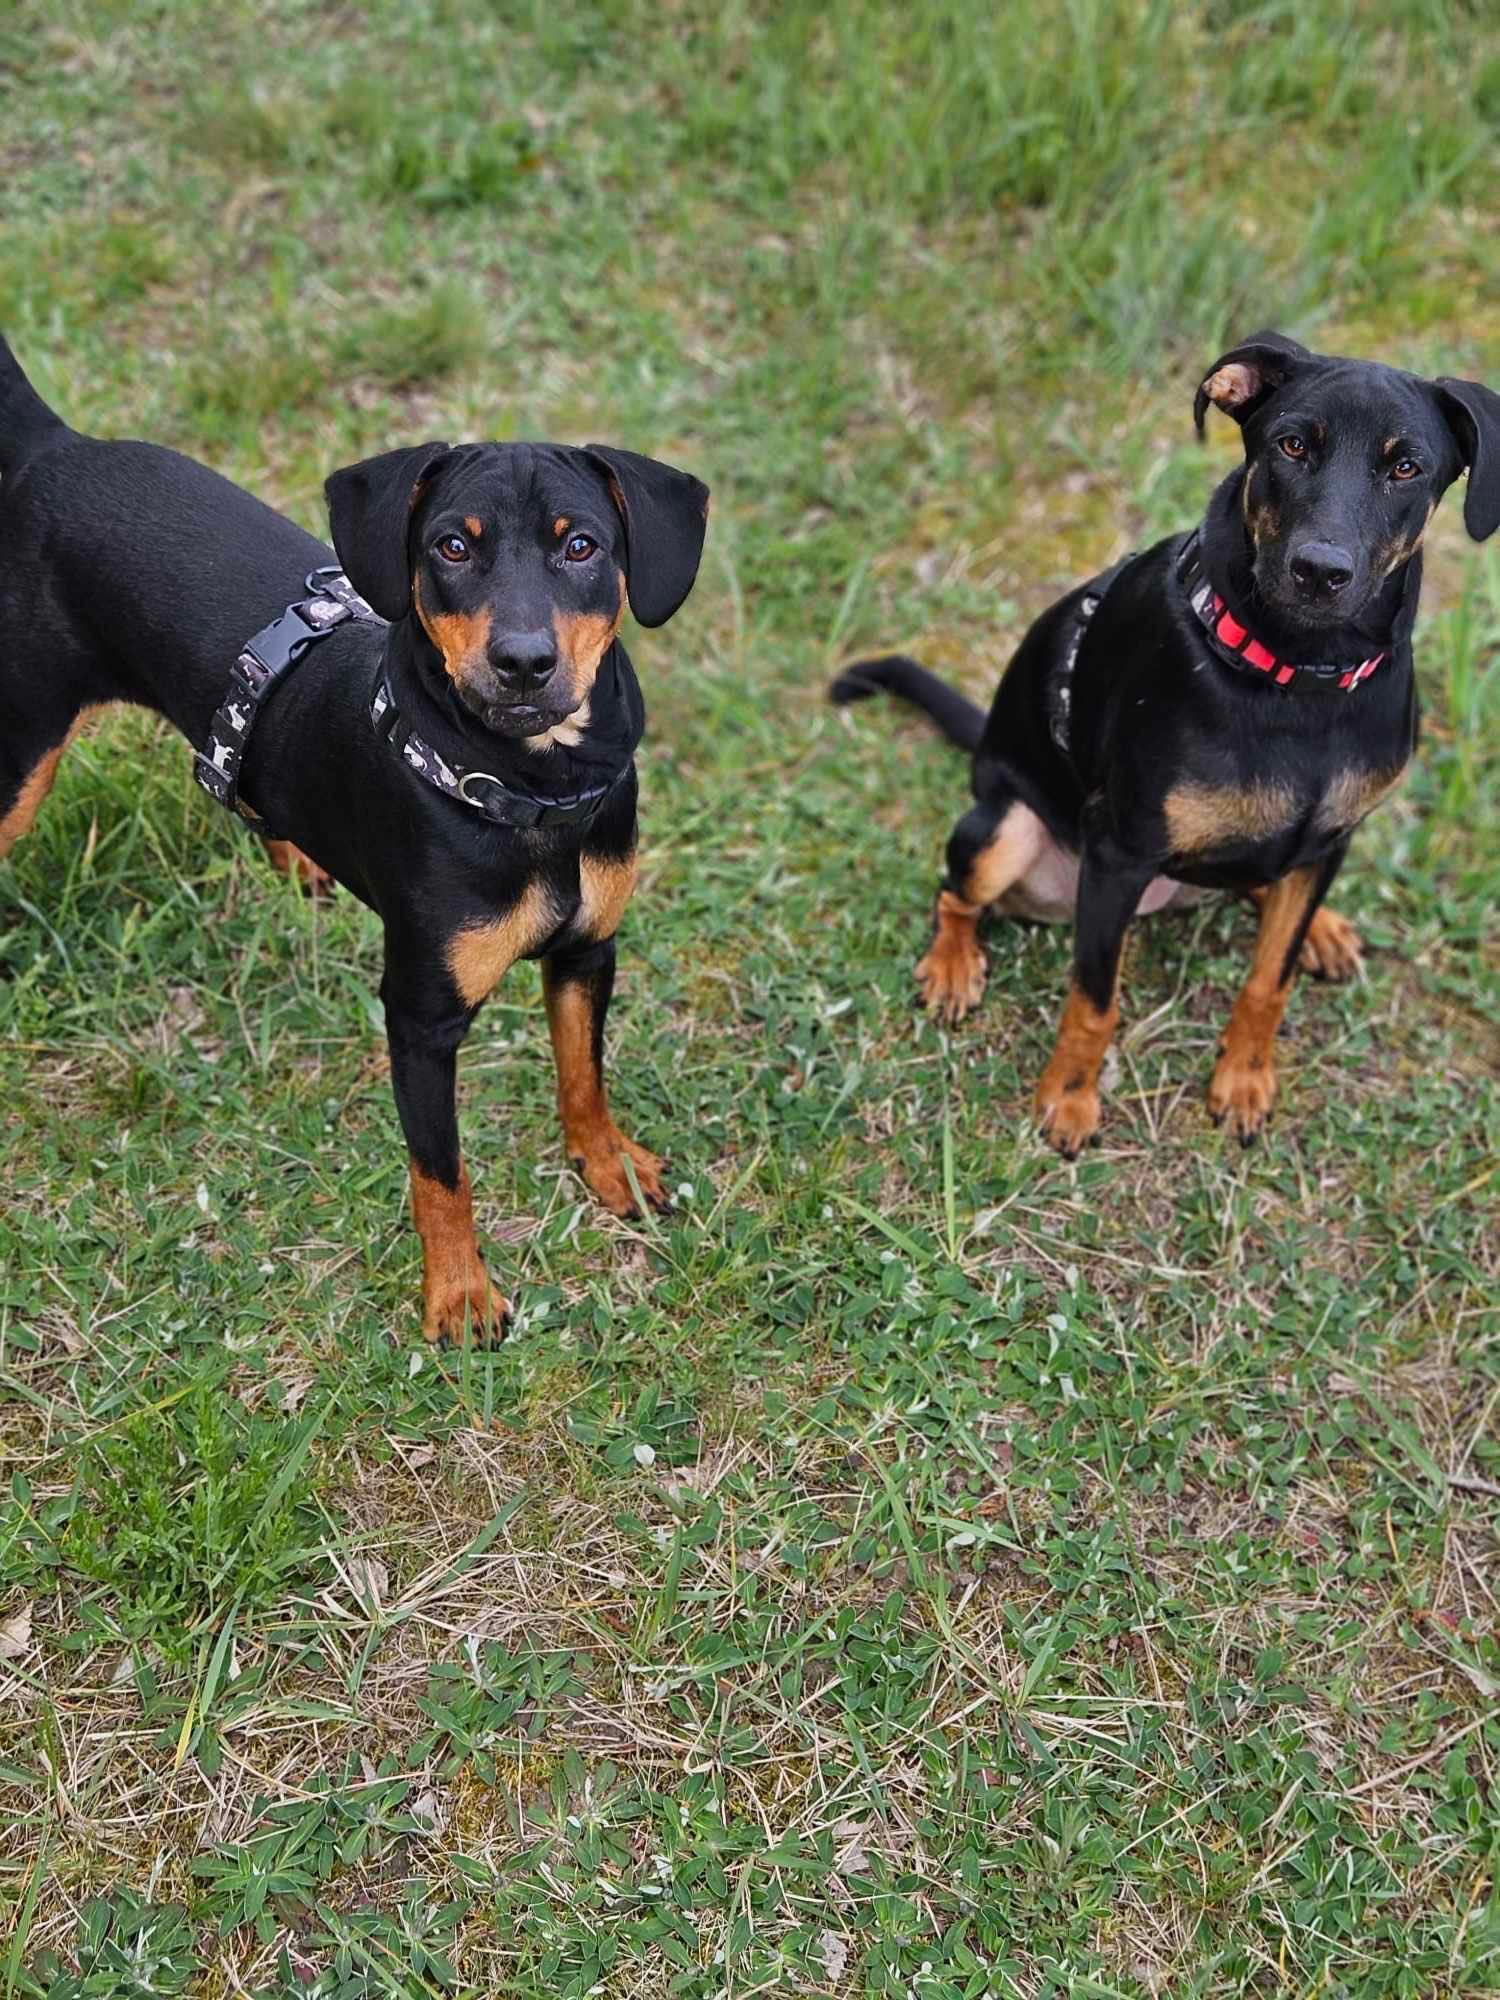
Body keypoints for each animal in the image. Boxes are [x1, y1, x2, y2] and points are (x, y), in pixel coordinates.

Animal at [0, 340, 712, 1344]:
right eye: (451, 545)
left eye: (583, 546)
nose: (523, 663)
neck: (532, 795)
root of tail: (54, 449)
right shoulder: (419, 1017)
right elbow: (441, 1172)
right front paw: (458, 1296)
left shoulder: (589, 952)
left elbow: (584, 1076)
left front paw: (606, 1166)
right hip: (22, 750)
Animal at [836, 332, 1500, 1160]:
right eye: (1291, 445)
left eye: (1406, 467)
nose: (1320, 571)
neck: (1299, 677)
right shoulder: (1118, 851)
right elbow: (1095, 999)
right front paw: (1068, 1099)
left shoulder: (1334, 835)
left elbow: (1268, 980)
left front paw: (1244, 1080)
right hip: (1006, 829)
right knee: (955, 893)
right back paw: (953, 967)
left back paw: (1322, 928)